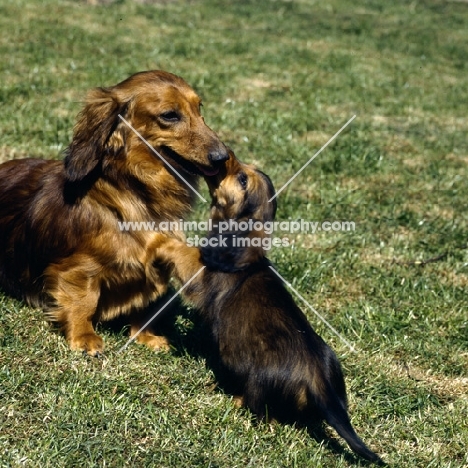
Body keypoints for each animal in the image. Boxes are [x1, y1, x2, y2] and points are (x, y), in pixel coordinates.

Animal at [0, 69, 229, 354]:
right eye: (170, 115)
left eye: (199, 108)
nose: (223, 157)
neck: (131, 190)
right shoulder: (77, 269)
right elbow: (84, 300)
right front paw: (84, 337)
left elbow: (145, 306)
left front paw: (146, 337)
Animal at [154, 153, 384, 464]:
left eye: (242, 179)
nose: (224, 155)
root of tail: (318, 382)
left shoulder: (200, 273)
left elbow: (183, 251)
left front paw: (159, 239)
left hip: (258, 381)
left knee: (262, 412)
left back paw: (232, 397)